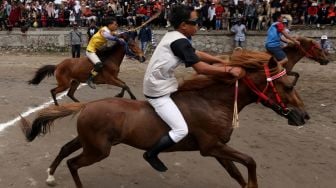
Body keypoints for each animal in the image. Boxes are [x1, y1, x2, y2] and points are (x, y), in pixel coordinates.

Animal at [21, 54, 310, 188]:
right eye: (286, 86)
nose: (304, 116)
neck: (213, 102)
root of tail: (88, 104)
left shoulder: (218, 149)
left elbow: (238, 173)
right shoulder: (211, 148)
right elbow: (250, 161)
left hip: (90, 142)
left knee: (64, 150)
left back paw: (50, 175)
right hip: (98, 150)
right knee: (73, 162)